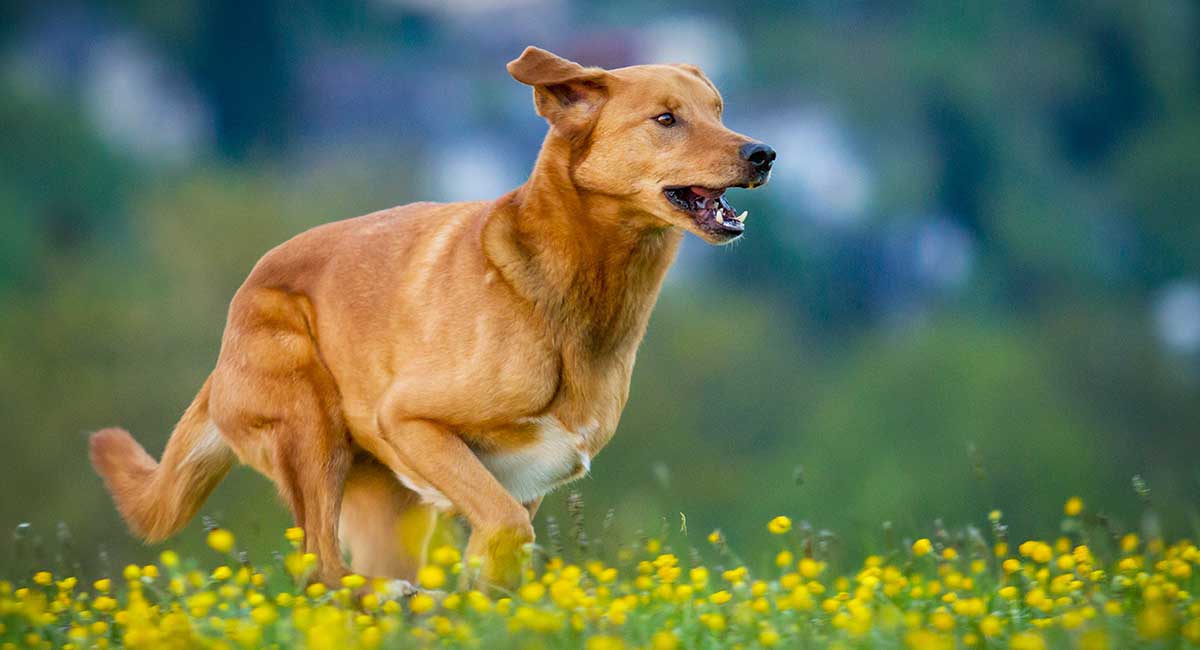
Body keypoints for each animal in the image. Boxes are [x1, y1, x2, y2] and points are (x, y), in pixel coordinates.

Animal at [87, 47, 777, 590]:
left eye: (719, 110)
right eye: (666, 118)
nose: (764, 152)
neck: (573, 289)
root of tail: (227, 335)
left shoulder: (525, 477)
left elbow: (507, 546)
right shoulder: (411, 421)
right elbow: (505, 526)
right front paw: (474, 583)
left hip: (382, 506)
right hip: (311, 430)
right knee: (321, 570)